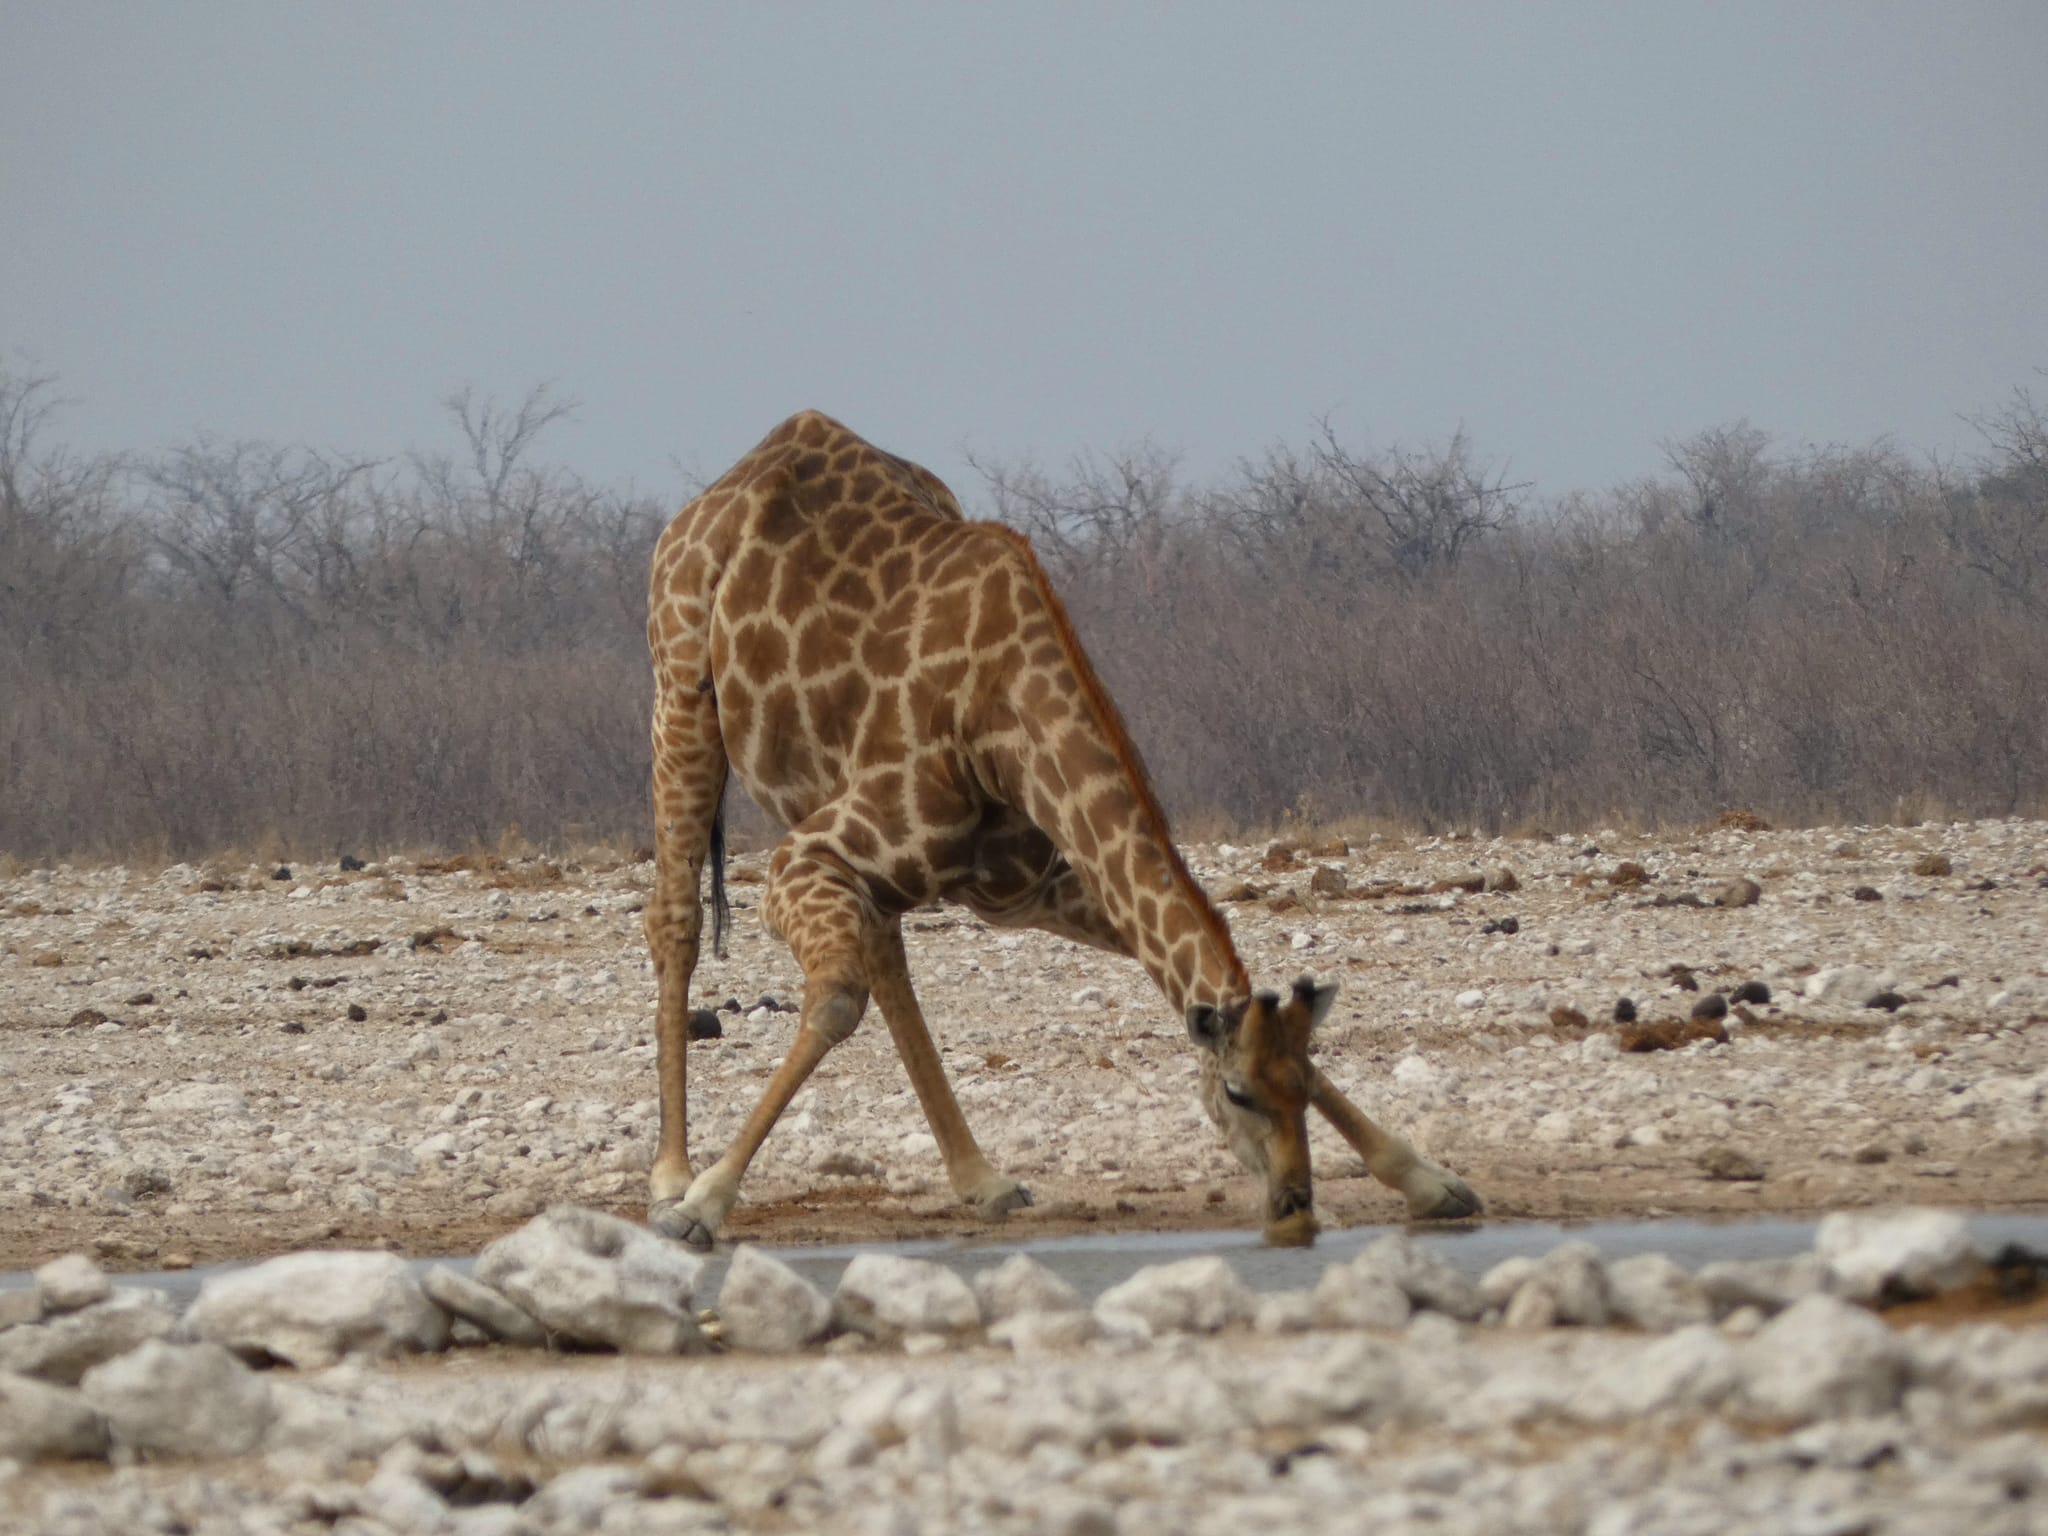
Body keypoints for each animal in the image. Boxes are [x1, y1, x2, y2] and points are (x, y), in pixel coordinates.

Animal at [634, 409, 1474, 1253]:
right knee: (675, 917)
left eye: (1302, 1085)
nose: (1296, 1206)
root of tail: (743, 469)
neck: (1002, 722)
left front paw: (1431, 1181)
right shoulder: (802, 857)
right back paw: (668, 1173)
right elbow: (837, 1000)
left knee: (886, 956)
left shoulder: (1032, 885)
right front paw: (703, 1202)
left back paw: (982, 1179)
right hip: (680, 692)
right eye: (1236, 1093)